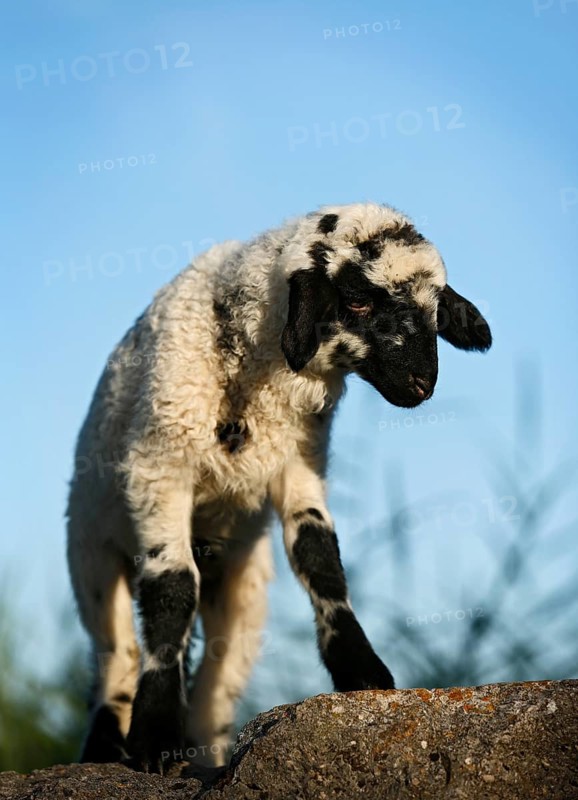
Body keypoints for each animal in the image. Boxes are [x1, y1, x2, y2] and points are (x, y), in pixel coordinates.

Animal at [66, 202, 492, 773]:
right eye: (357, 300)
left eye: (434, 308)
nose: (422, 384)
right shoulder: (160, 467)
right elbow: (171, 591)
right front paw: (153, 737)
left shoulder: (300, 462)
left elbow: (320, 559)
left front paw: (361, 672)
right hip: (90, 556)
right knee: (115, 654)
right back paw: (106, 745)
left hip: (241, 590)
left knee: (215, 688)